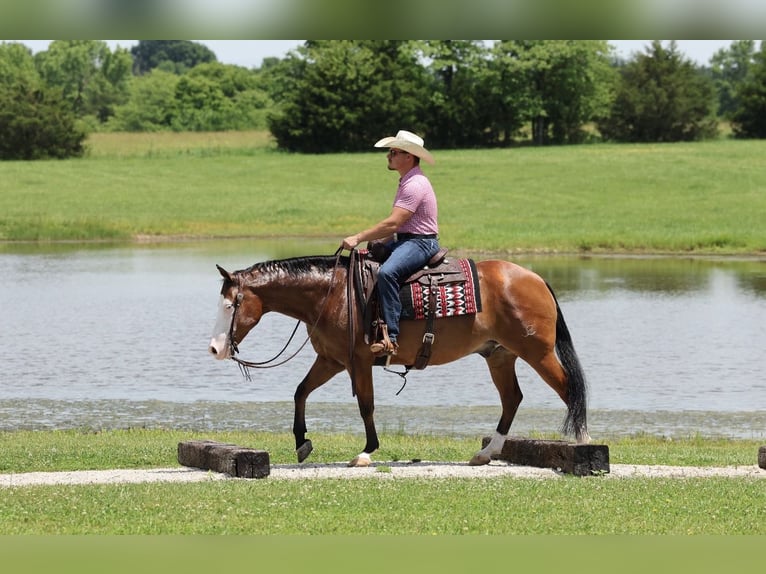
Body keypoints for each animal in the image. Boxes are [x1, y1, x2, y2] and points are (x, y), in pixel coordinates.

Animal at [208, 252, 589, 467]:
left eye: (229, 305)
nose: (215, 348)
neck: (334, 294)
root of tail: (536, 278)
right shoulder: (331, 360)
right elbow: (301, 392)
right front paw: (302, 443)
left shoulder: (358, 361)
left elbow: (366, 405)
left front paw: (366, 452)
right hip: (499, 356)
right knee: (512, 399)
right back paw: (485, 454)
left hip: (537, 352)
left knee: (569, 389)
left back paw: (584, 445)